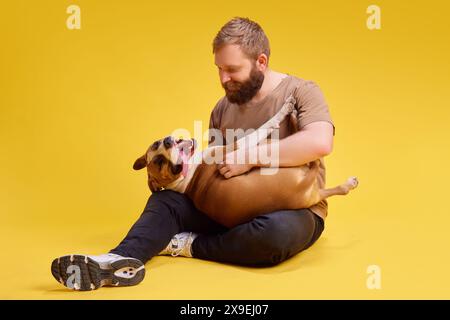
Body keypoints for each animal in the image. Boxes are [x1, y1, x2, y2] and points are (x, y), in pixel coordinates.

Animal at [132, 95, 356, 228]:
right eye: (162, 163)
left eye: (156, 146)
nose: (168, 141)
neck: (184, 177)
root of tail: (305, 187)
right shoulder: (238, 146)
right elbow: (267, 125)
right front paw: (283, 111)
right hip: (299, 173)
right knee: (314, 162)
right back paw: (292, 117)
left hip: (314, 192)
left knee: (330, 187)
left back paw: (348, 184)